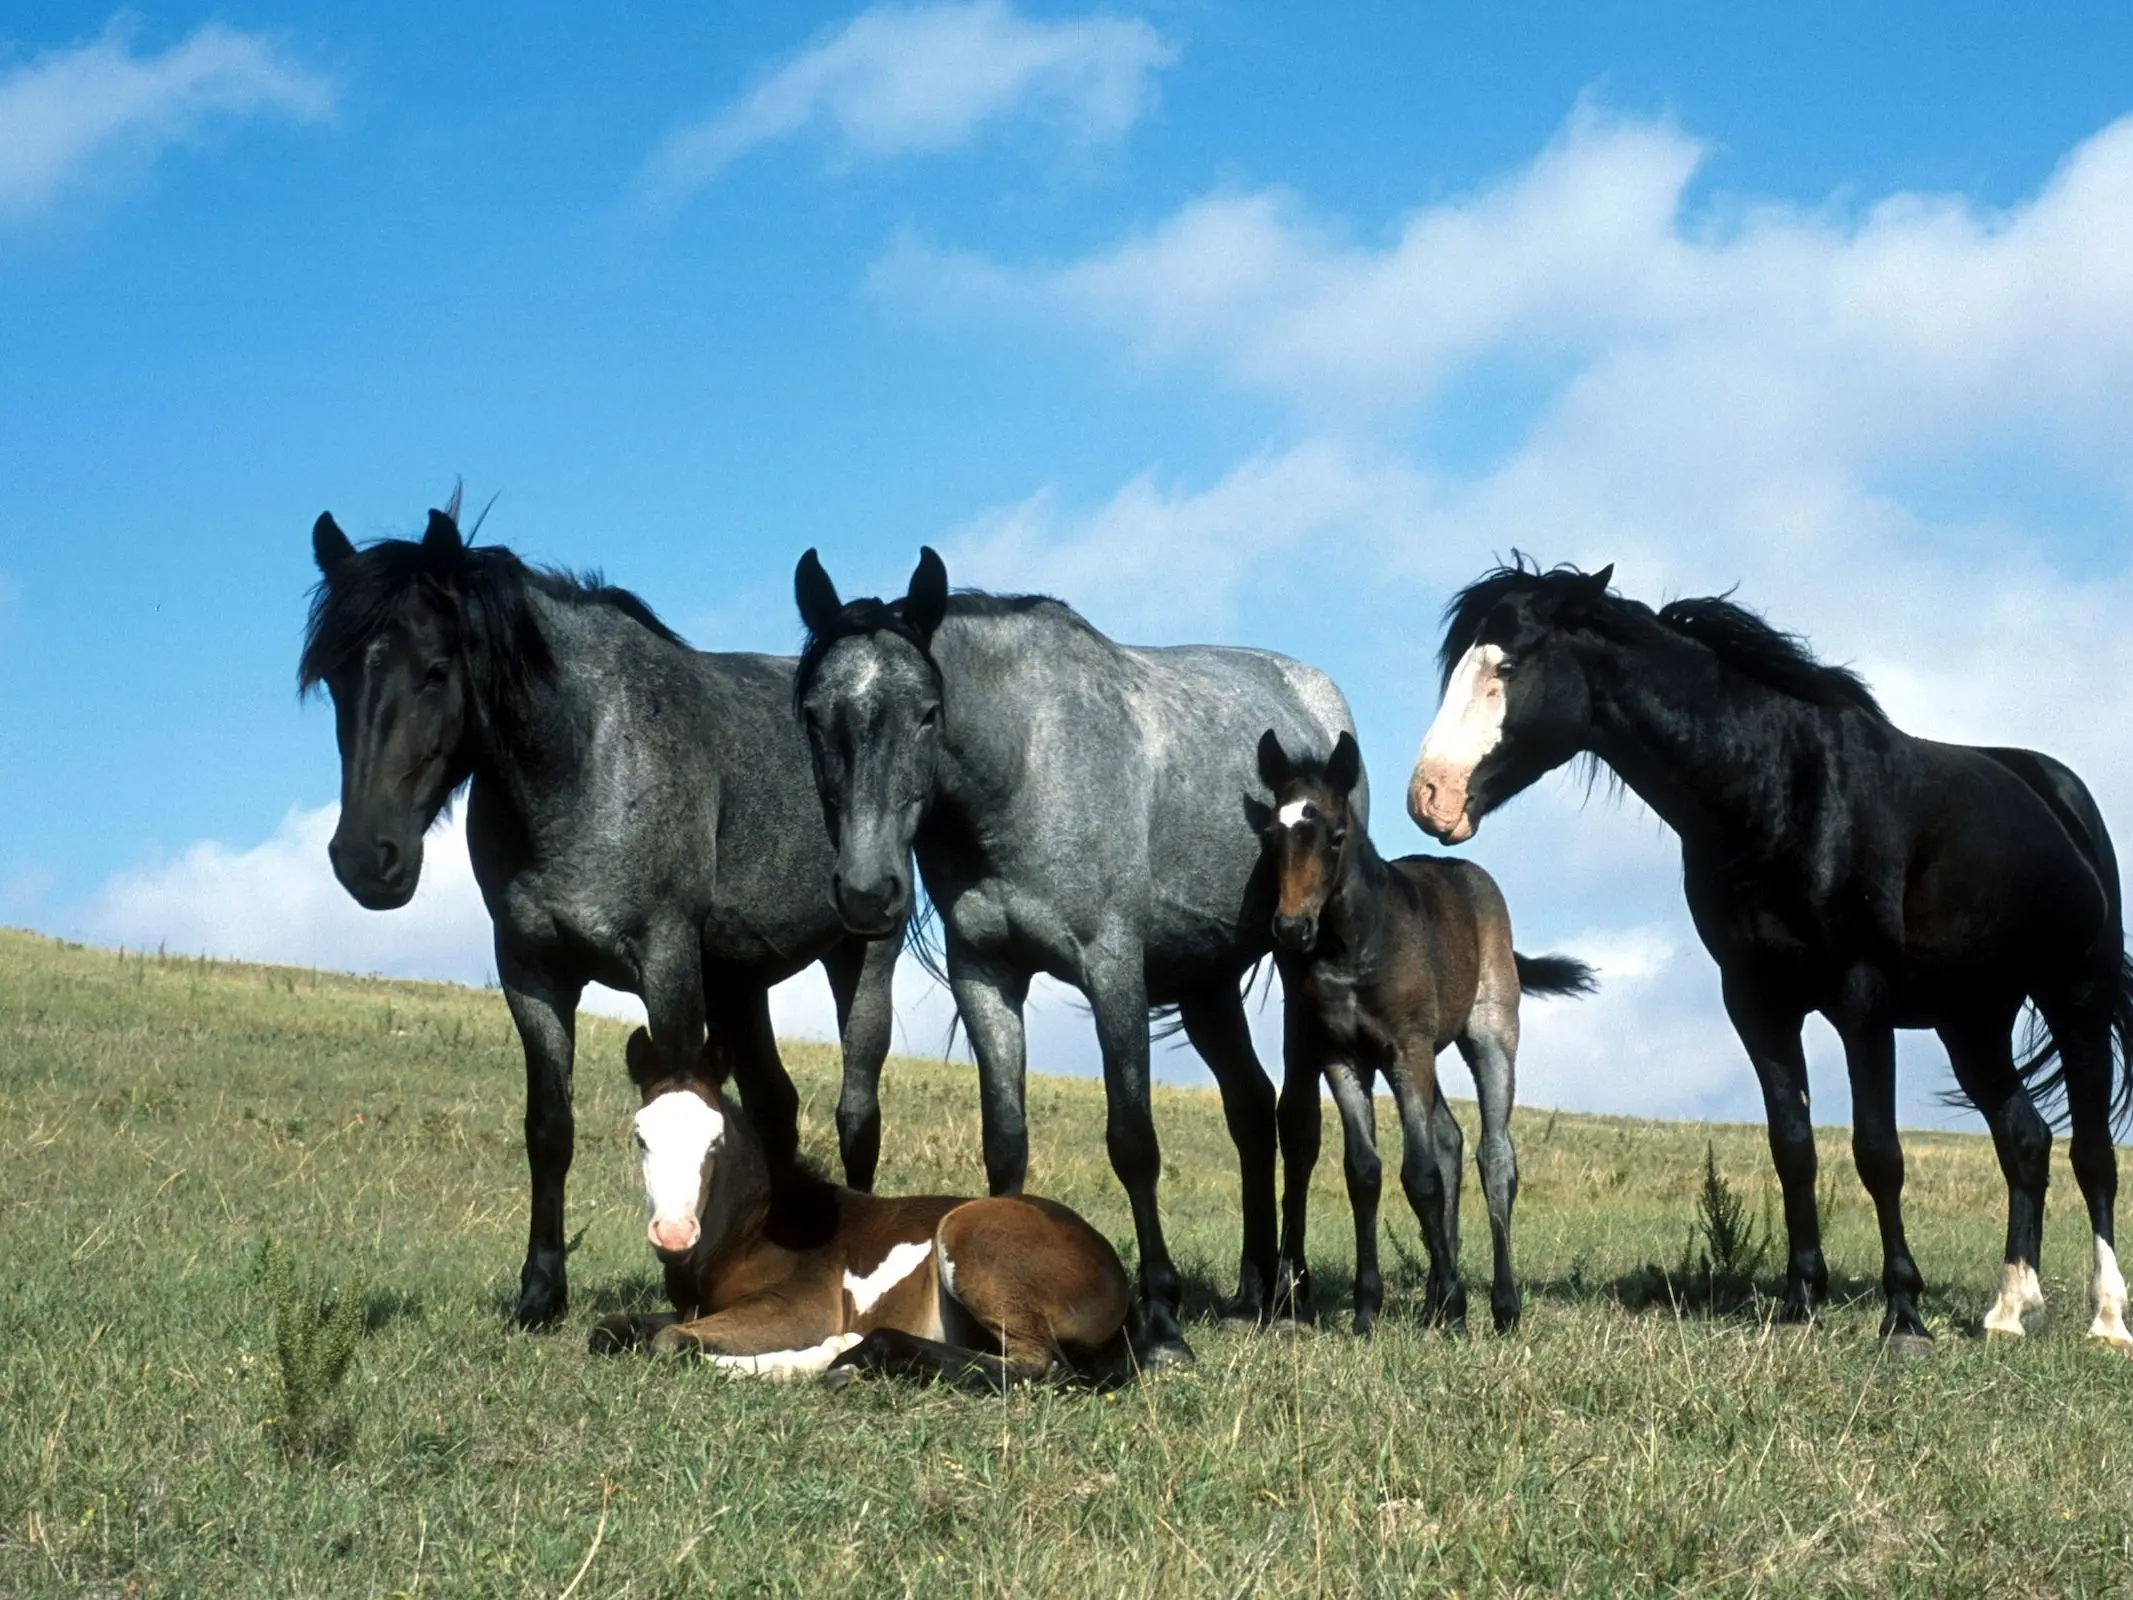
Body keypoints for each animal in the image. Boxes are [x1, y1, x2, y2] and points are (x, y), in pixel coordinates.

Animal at [300, 501, 900, 1331]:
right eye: (334, 678)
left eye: (435, 669)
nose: (366, 858)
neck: (585, 760)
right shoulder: (532, 973)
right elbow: (549, 1130)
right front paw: (540, 1294)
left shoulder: (666, 963)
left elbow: (684, 1099)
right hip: (740, 983)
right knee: (775, 1106)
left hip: (862, 958)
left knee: (856, 1114)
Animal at [592, 1041, 1143, 1390]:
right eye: (640, 1136)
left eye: (715, 1140)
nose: (674, 1234)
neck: (754, 1229)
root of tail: (1113, 1270)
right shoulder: (695, 1308)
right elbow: (608, 1327)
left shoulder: (797, 1308)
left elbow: (668, 1341)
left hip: (971, 1239)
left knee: (1041, 1366)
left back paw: (846, 1354)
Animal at [793, 550, 1356, 1365]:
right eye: (813, 714)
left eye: (927, 712)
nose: (867, 892)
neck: (1026, 765)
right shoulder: (985, 974)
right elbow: (1005, 1141)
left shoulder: (1112, 969)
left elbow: (1132, 1140)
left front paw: (1161, 1321)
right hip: (1207, 981)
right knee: (1250, 1112)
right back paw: (1250, 1295)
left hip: (1294, 961)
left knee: (1297, 1122)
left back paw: (1289, 1297)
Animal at [1254, 733, 1595, 1331]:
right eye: (1274, 834)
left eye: (1335, 836)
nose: (1291, 928)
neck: (1355, 945)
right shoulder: (1343, 1057)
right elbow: (1365, 1172)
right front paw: (1368, 1310)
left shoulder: (1405, 1052)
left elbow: (1421, 1176)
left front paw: (1458, 1304)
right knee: (1452, 1140)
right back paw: (1438, 1294)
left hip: (1489, 1034)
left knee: (1494, 1155)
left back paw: (1501, 1305)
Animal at [1407, 563, 2124, 1356]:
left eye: (1507, 666)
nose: (1429, 797)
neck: (1781, 790)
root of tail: (2057, 795)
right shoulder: (1757, 1002)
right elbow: (1793, 1148)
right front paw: (1800, 1301)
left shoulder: (1862, 1000)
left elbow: (1878, 1153)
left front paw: (1903, 1315)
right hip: (1972, 1022)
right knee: (2024, 1139)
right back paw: (2009, 1309)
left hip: (2076, 1001)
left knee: (2093, 1155)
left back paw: (2106, 1319)